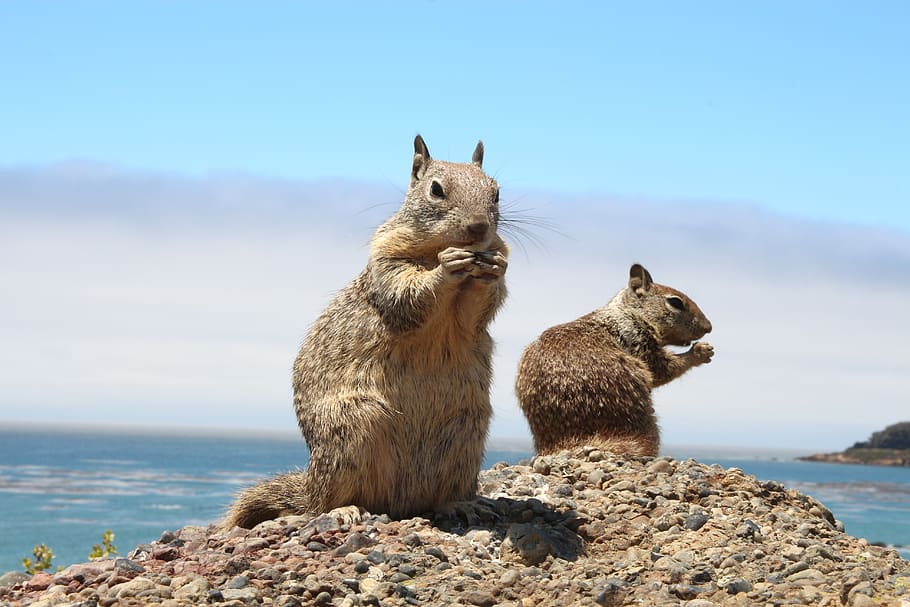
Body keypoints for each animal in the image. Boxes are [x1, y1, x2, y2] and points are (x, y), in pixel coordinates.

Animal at [223, 135, 509, 529]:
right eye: (436, 189)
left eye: (496, 192)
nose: (479, 227)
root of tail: (403, 504)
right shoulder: (387, 264)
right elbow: (410, 295)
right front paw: (445, 268)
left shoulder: (474, 306)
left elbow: (477, 311)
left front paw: (494, 267)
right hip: (353, 432)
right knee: (324, 503)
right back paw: (343, 508)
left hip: (466, 434)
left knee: (439, 496)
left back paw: (460, 504)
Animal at [515, 263, 713, 457]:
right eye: (675, 302)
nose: (709, 327)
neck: (628, 313)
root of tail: (565, 444)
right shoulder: (638, 341)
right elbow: (662, 369)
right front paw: (700, 352)